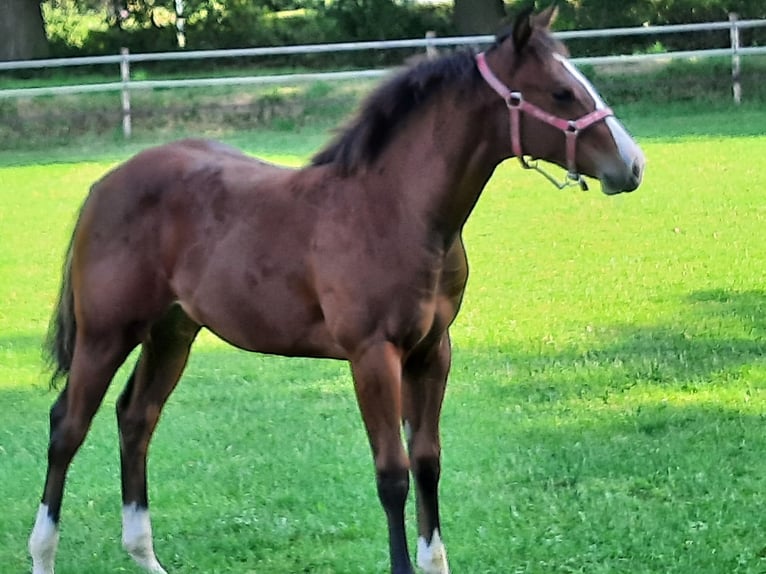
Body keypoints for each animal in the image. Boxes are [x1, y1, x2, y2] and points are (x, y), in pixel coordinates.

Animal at [29, 6, 644, 574]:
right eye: (561, 92)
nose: (632, 165)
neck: (394, 209)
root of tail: (105, 184)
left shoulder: (432, 352)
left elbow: (427, 461)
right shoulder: (372, 354)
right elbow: (392, 473)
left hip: (172, 332)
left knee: (137, 417)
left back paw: (145, 556)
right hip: (106, 334)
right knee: (67, 426)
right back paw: (43, 553)